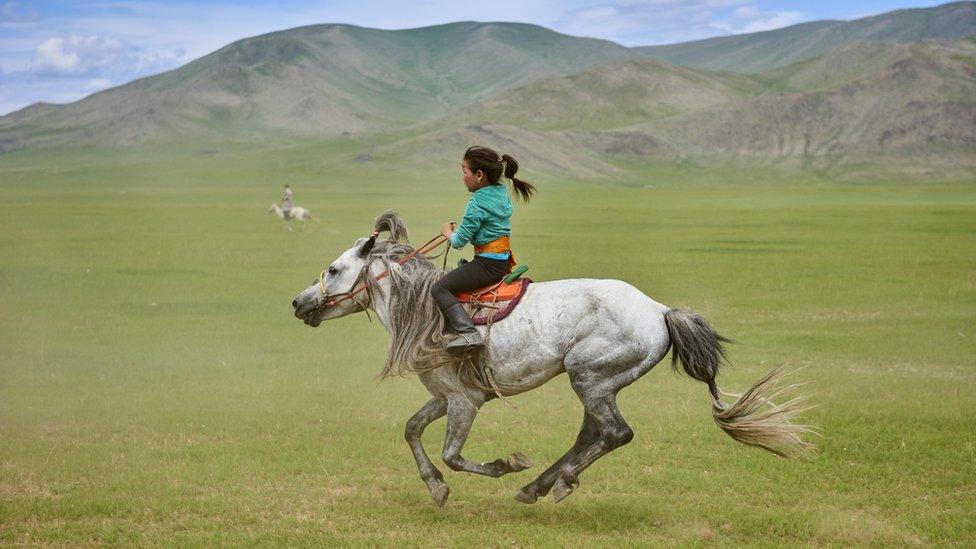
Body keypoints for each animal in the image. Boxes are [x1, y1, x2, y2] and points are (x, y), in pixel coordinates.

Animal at [290, 211, 816, 506]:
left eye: (334, 269)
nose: (297, 302)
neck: (424, 310)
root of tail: (660, 311)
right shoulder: (446, 396)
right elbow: (412, 430)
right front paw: (435, 488)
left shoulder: (465, 401)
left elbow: (453, 455)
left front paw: (507, 464)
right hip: (599, 382)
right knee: (595, 434)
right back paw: (544, 486)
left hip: (590, 377)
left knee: (615, 434)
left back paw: (545, 483)